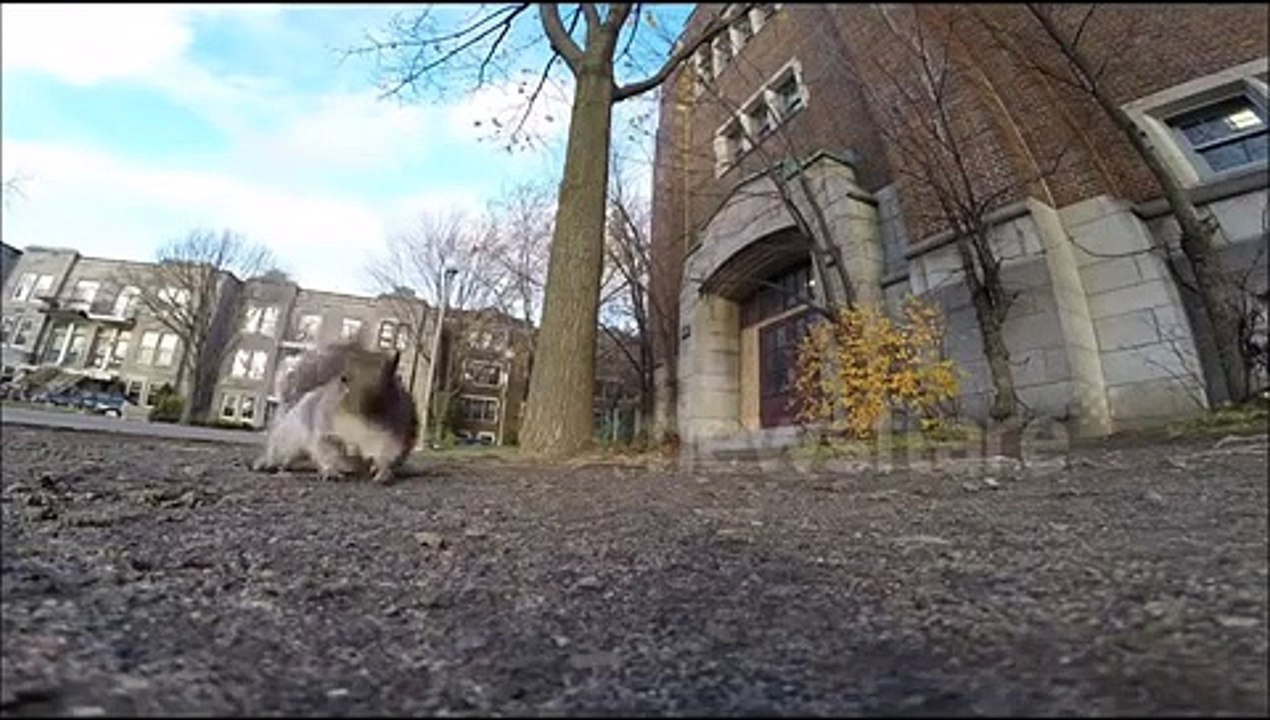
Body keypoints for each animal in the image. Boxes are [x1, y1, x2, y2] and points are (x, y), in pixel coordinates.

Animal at [252, 340, 420, 483]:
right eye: (343, 378)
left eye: (391, 378)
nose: (369, 406)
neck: (359, 421)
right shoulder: (326, 429)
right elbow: (326, 450)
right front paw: (330, 471)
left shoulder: (390, 432)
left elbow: (385, 453)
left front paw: (383, 471)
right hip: (289, 438)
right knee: (282, 453)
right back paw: (266, 463)